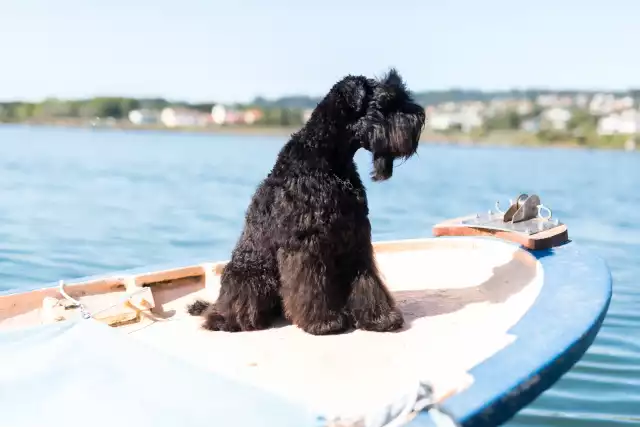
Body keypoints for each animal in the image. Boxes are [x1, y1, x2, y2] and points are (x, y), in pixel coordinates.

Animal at [189, 68, 424, 336]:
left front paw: (380, 318)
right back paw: (228, 320)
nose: (420, 116)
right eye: (386, 102)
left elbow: (366, 280)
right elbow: (310, 285)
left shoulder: (357, 238)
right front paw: (323, 323)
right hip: (252, 276)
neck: (328, 160)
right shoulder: (306, 244)